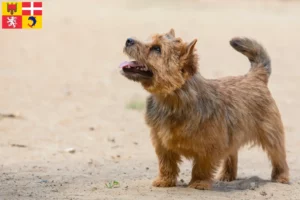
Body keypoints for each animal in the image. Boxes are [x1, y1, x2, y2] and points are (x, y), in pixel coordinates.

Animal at [119, 29, 288, 189]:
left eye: (157, 48)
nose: (128, 40)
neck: (171, 100)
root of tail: (255, 76)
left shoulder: (210, 146)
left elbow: (202, 166)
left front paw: (199, 183)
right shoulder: (162, 142)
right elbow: (166, 164)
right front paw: (164, 180)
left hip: (270, 134)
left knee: (278, 156)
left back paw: (282, 177)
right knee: (232, 154)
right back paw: (227, 175)